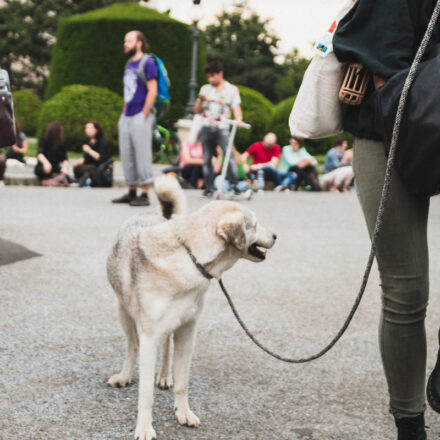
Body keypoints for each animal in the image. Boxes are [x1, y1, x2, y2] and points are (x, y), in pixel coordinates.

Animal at [106, 175, 276, 440]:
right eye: (255, 224)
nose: (276, 236)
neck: (190, 255)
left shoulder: (187, 332)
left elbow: (182, 382)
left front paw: (183, 412)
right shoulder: (149, 336)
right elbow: (145, 393)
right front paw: (144, 426)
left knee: (166, 348)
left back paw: (164, 376)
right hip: (124, 314)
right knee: (132, 347)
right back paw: (125, 376)